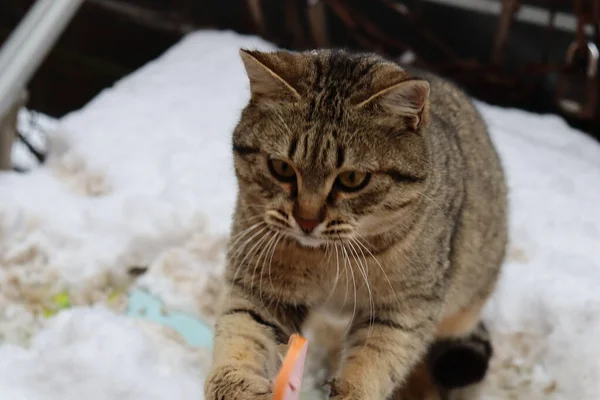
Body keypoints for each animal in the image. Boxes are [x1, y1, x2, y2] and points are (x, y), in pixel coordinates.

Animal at [205, 47, 506, 400]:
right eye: (281, 168)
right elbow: (242, 332)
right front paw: (238, 386)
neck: (327, 258)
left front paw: (351, 390)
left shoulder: (405, 307)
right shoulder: (259, 283)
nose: (306, 220)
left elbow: (374, 360)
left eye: (352, 179)